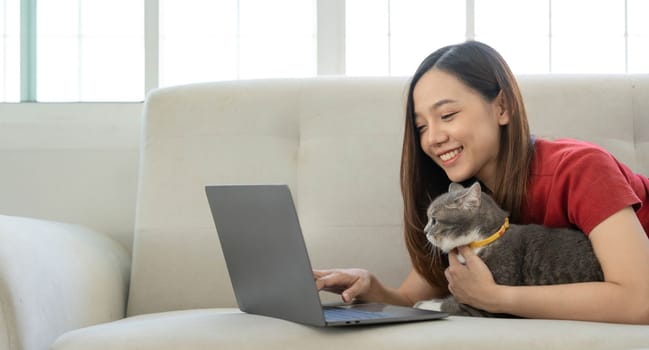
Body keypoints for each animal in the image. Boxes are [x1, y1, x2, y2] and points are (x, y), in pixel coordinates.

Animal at [426, 182, 604, 316]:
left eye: (434, 220)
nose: (425, 231)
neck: (480, 242)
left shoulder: (485, 300)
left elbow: (452, 305)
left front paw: (428, 303)